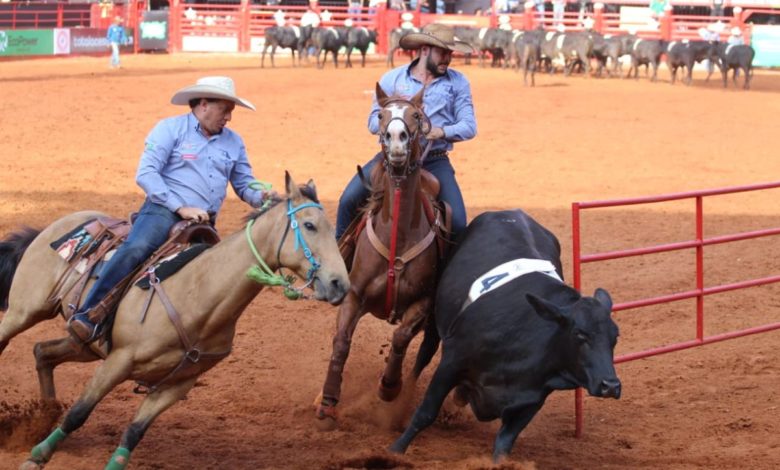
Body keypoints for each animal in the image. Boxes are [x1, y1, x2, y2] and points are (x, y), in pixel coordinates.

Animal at [0, 173, 348, 470]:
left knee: (42, 352)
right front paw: (37, 456)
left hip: (84, 345)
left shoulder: (177, 385)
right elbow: (79, 412)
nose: (339, 284)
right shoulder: (119, 360)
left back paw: (43, 417)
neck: (199, 294)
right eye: (309, 225)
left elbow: (134, 432)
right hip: (25, 311)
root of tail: (61, 224)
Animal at [312, 84, 444, 430]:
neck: (397, 236)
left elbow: (400, 338)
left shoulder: (423, 302)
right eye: (382, 115)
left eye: (416, 116)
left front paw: (389, 387)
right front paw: (328, 401)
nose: (396, 139)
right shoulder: (355, 295)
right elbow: (341, 342)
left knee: (424, 352)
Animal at [390, 209, 620, 462]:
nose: (611, 385)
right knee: (424, 354)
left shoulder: (533, 396)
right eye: (580, 334)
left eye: (615, 337)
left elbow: (504, 442)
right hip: (434, 321)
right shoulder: (451, 363)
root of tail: (510, 212)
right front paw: (395, 450)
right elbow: (425, 413)